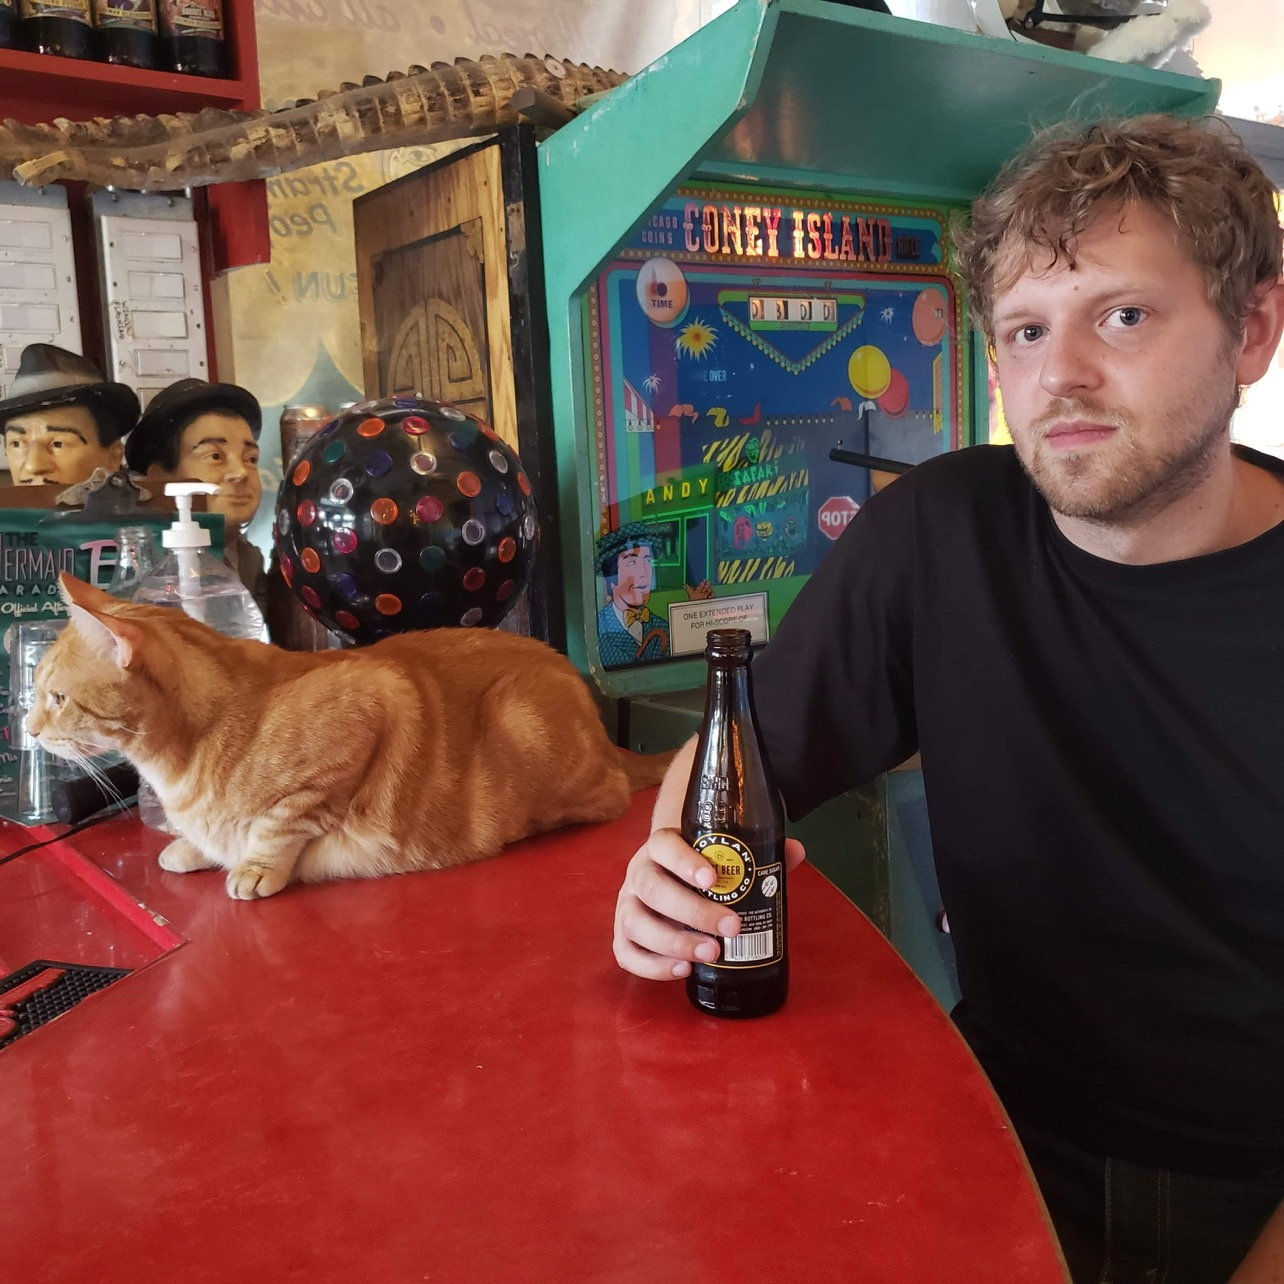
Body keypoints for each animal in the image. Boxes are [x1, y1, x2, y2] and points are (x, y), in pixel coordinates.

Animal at [28, 573, 674, 900]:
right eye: (36, 691)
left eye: (57, 698)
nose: (31, 732)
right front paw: (194, 846)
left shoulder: (369, 705)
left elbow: (280, 823)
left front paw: (253, 866)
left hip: (523, 719)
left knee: (610, 796)